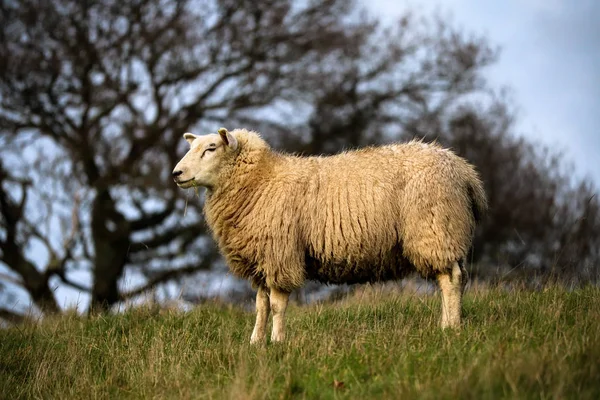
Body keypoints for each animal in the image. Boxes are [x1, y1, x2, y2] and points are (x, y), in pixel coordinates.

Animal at [172, 128, 488, 344]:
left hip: (434, 229)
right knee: (454, 278)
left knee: (451, 280)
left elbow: (276, 305)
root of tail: (464, 170)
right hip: (444, 232)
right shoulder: (261, 260)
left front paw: (277, 342)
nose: (177, 173)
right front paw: (255, 343)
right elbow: (260, 306)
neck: (261, 180)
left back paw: (451, 328)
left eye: (211, 148)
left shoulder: (280, 254)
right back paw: (447, 324)